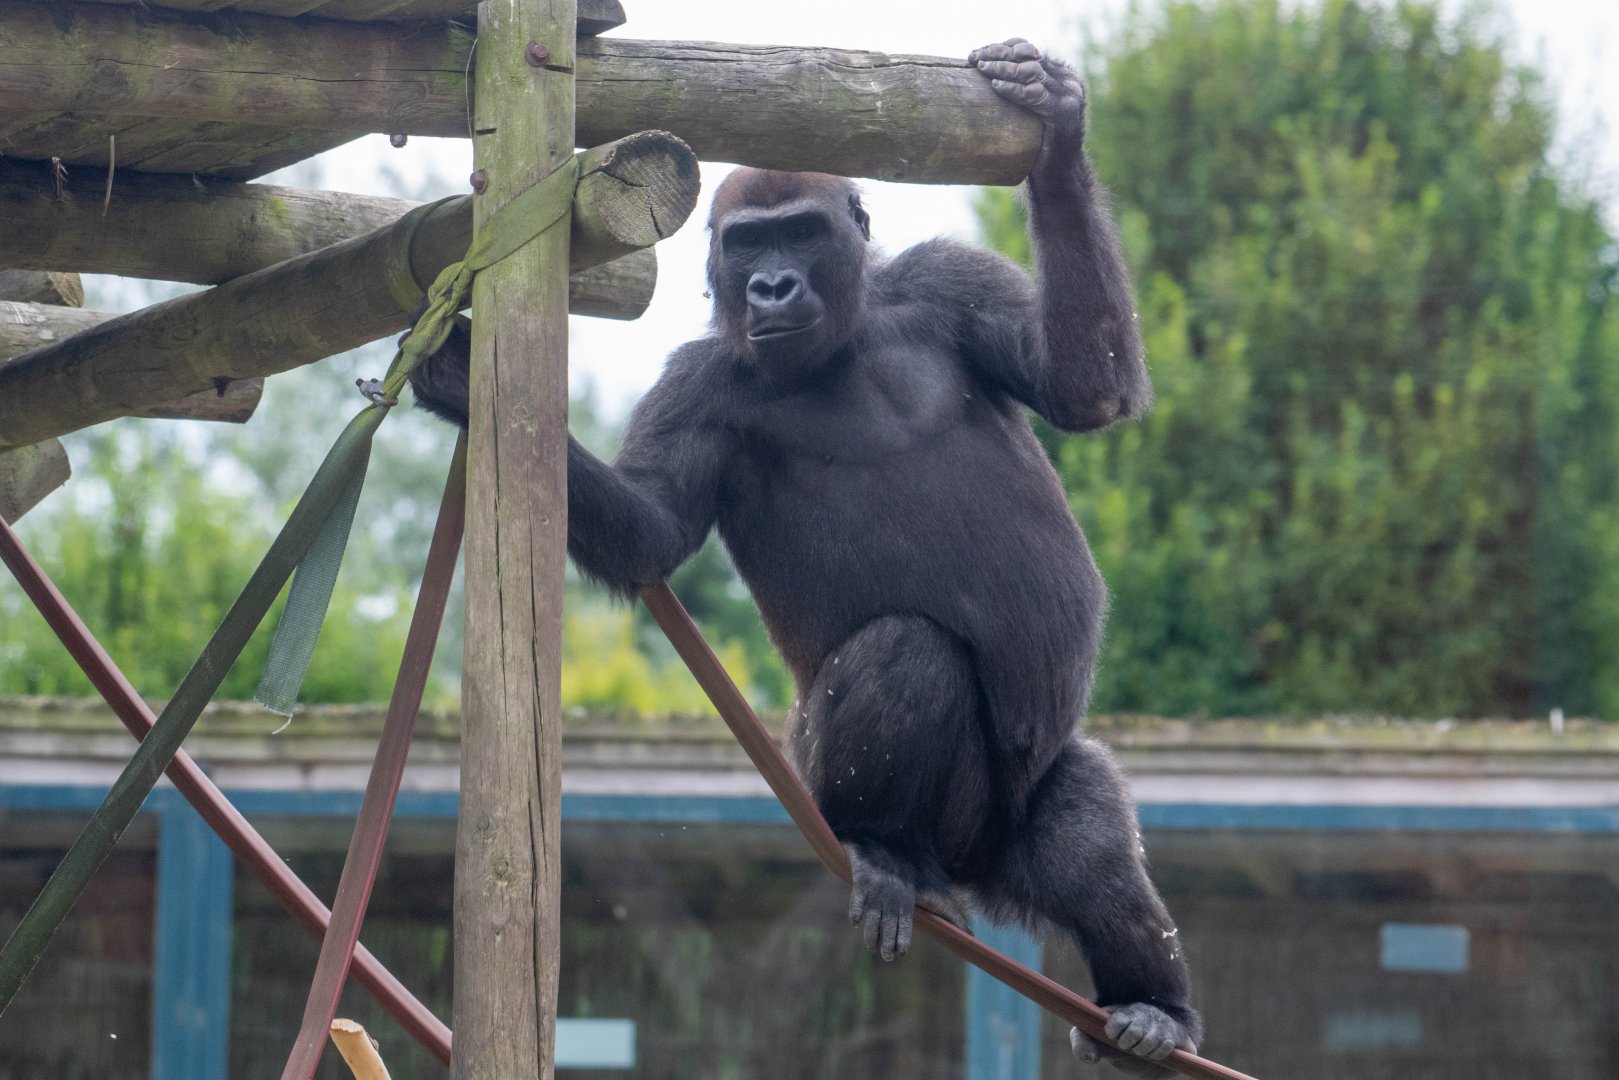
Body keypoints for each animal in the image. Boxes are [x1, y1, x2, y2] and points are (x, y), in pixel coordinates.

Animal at [409, 38, 1201, 1074]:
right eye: (746, 245)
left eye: (797, 233)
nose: (771, 286)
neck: (842, 340)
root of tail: (967, 871)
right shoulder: (699, 382)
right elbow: (654, 526)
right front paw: (461, 378)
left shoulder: (947, 282)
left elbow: (1082, 386)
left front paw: (1058, 128)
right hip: (827, 789)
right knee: (910, 654)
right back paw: (882, 850)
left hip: (1014, 826)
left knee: (1087, 840)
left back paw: (1154, 1007)